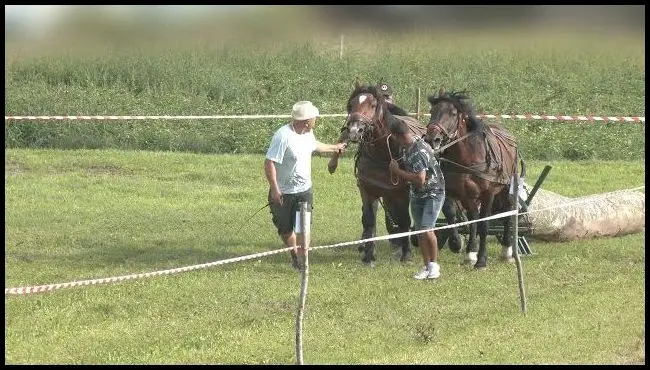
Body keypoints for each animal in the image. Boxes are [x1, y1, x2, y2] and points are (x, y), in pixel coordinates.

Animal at [332, 81, 428, 266]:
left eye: (373, 104)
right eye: (351, 104)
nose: (354, 130)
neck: (382, 154)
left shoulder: (402, 193)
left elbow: (405, 220)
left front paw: (406, 254)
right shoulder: (368, 190)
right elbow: (369, 220)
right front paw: (369, 255)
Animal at [422, 88, 524, 270]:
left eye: (453, 113)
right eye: (432, 111)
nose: (432, 138)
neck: (468, 157)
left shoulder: (488, 194)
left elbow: (484, 224)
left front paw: (481, 260)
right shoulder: (459, 193)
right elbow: (457, 216)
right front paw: (462, 247)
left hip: (507, 188)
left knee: (507, 213)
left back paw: (507, 250)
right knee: (474, 217)